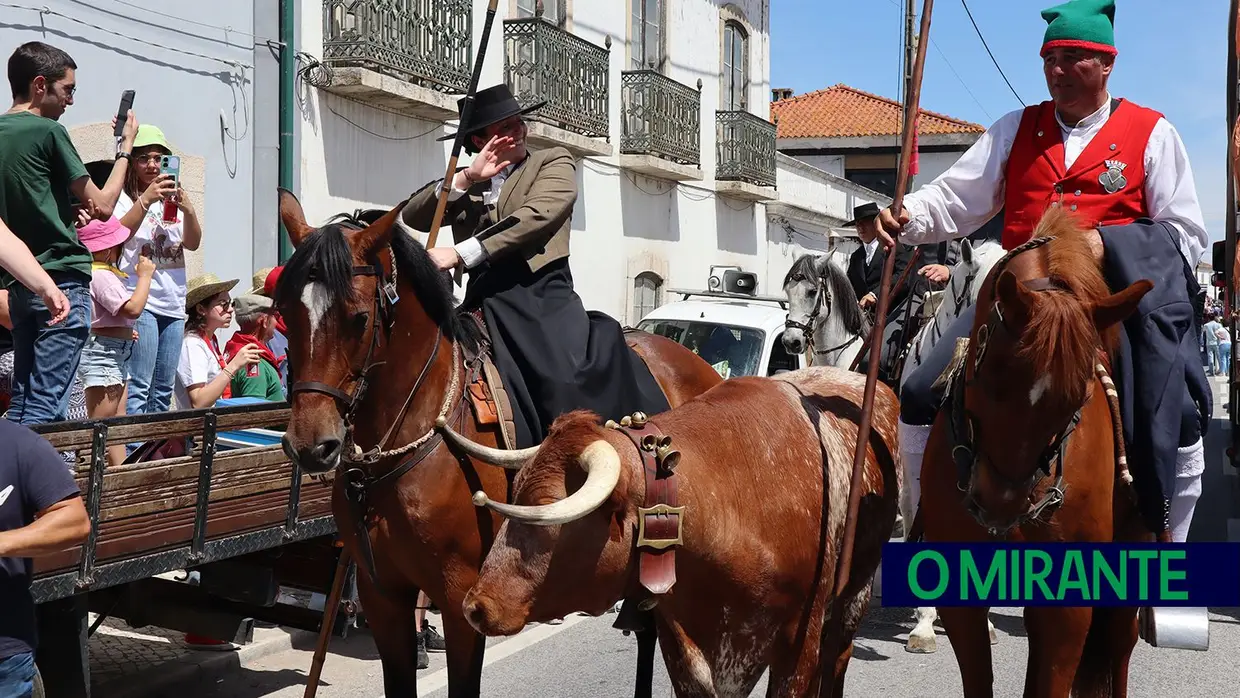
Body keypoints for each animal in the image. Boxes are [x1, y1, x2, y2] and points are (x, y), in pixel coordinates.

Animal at [922, 207, 1150, 698]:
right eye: (989, 376)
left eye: (1077, 399)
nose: (998, 505)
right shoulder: (961, 595)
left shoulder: (1069, 602)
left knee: (1119, 647)